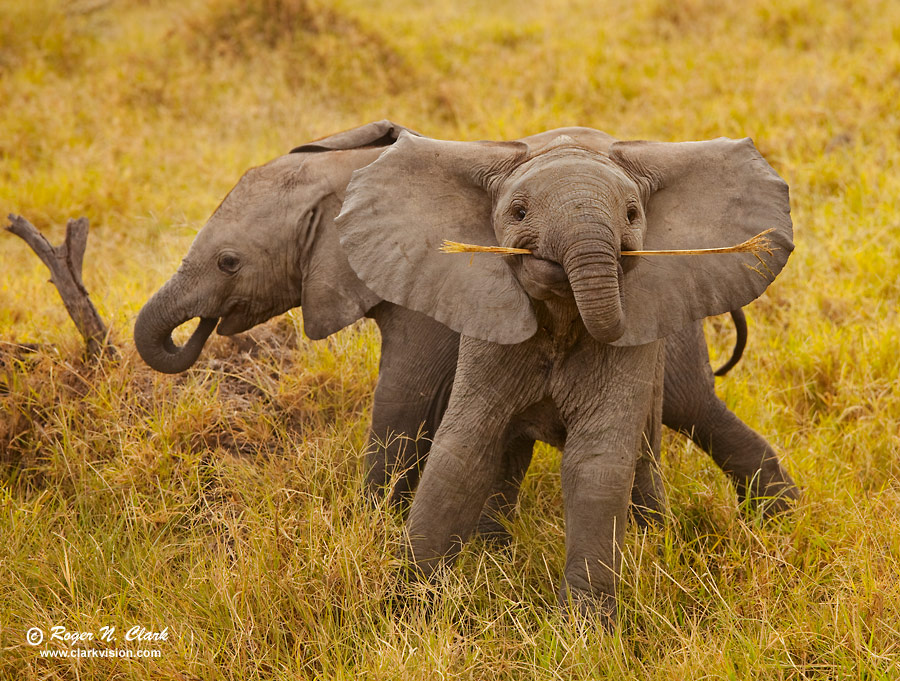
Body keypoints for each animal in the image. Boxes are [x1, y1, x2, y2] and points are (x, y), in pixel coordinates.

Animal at [338, 129, 796, 620]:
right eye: (519, 212)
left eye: (632, 214)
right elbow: (464, 451)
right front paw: (404, 611)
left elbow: (595, 463)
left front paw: (584, 631)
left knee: (683, 420)